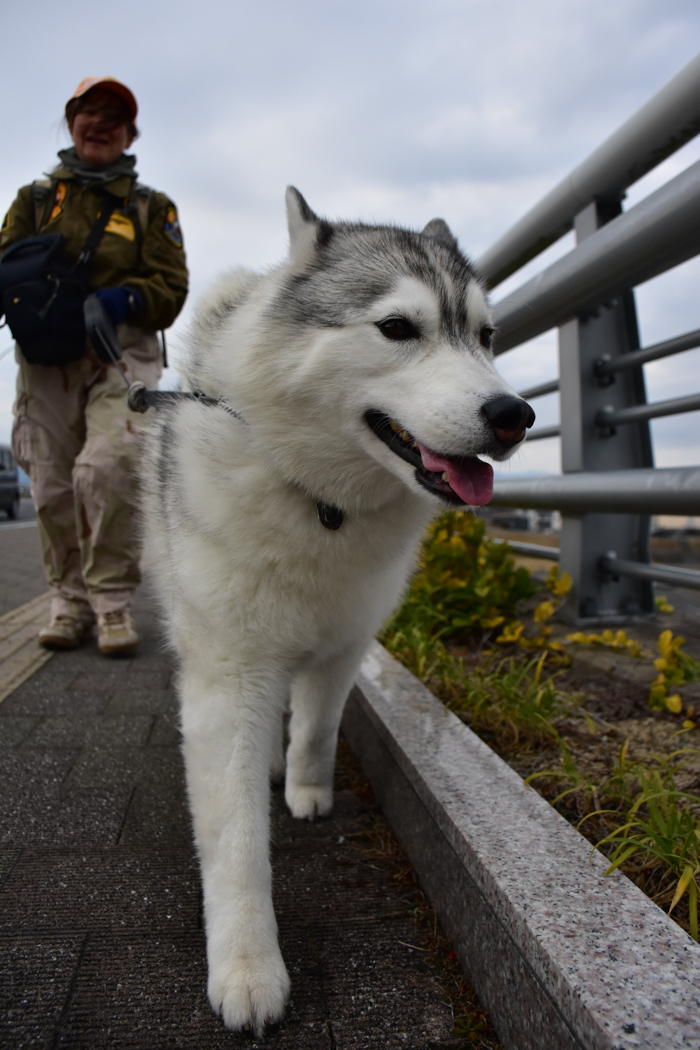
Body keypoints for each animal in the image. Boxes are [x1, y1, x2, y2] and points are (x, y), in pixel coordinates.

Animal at [142, 188, 537, 1033]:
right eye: (398, 328)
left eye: (486, 336)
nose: (514, 413)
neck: (322, 503)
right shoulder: (228, 672)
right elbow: (235, 843)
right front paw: (249, 968)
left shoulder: (346, 642)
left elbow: (319, 729)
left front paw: (307, 792)